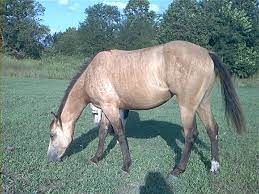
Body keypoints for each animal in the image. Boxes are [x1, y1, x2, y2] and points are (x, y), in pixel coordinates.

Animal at [47, 41, 246, 177]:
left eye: (52, 135)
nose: (50, 158)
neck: (93, 72)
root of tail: (206, 52)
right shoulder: (107, 108)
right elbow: (103, 132)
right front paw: (97, 158)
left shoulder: (110, 108)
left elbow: (120, 134)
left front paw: (126, 165)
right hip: (203, 103)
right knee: (213, 130)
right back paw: (214, 166)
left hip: (187, 107)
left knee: (191, 134)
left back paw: (178, 169)